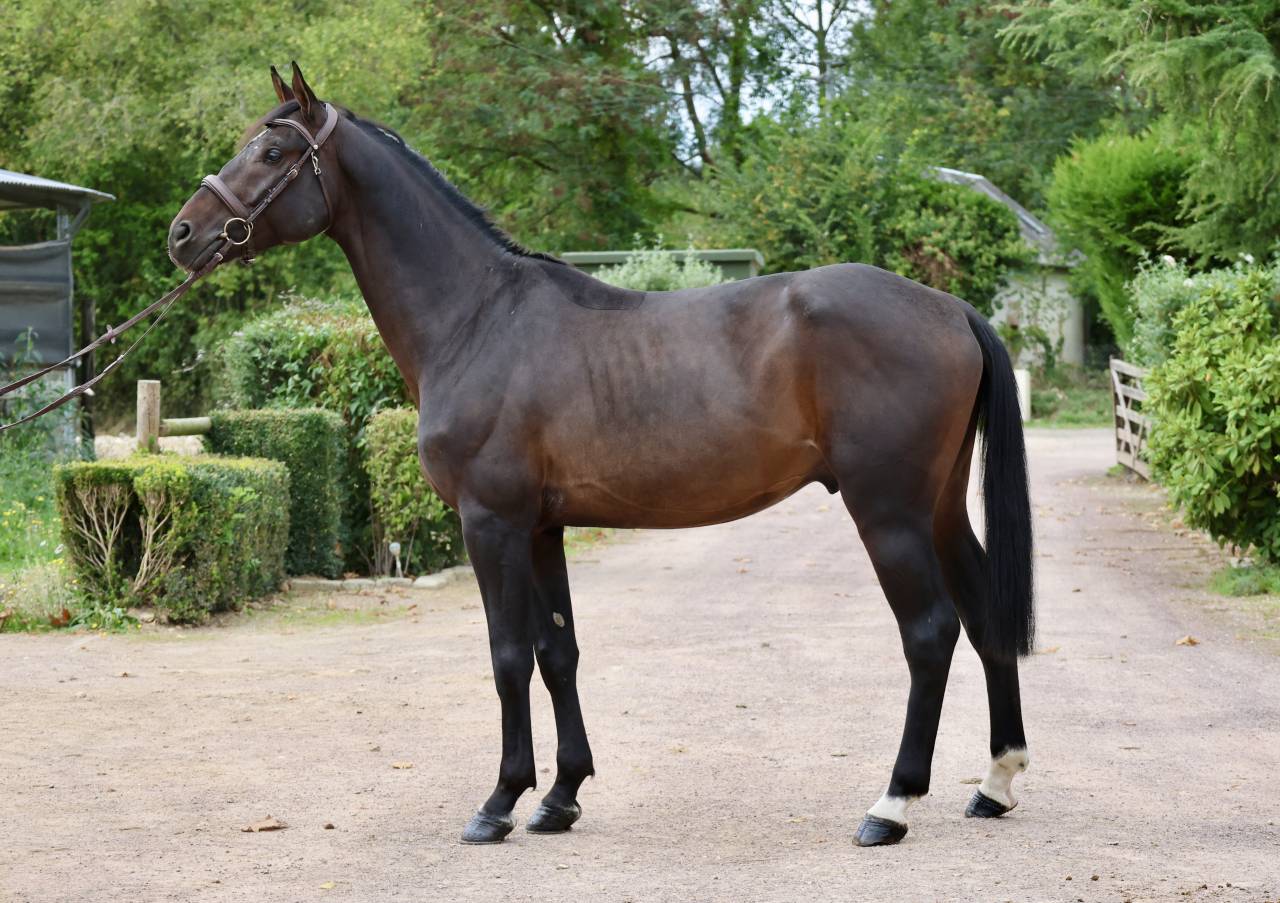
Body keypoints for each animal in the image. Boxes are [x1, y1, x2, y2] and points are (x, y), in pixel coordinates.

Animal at [168, 63, 1034, 847]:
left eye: (272, 152)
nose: (184, 234)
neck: (477, 317)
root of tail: (950, 308)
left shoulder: (490, 523)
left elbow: (508, 655)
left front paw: (499, 802)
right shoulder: (541, 526)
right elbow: (559, 651)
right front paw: (560, 797)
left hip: (887, 511)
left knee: (929, 631)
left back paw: (891, 805)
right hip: (938, 507)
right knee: (983, 616)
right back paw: (995, 784)